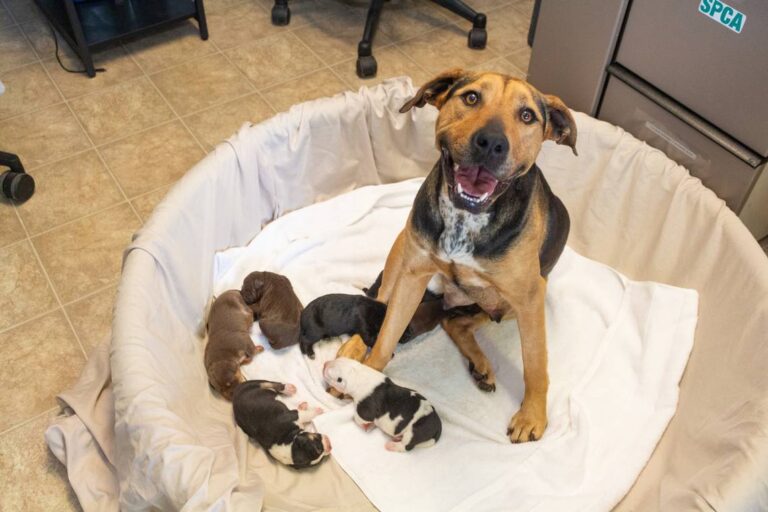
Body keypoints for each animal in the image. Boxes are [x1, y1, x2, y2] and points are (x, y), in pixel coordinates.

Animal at [340, 68, 572, 442]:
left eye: (527, 116)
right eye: (472, 97)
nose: (491, 143)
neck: (466, 218)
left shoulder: (529, 296)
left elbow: (536, 364)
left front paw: (532, 415)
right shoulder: (413, 274)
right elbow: (386, 332)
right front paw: (368, 372)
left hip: (514, 300)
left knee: (457, 321)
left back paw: (479, 362)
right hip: (402, 246)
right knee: (383, 298)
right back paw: (354, 347)